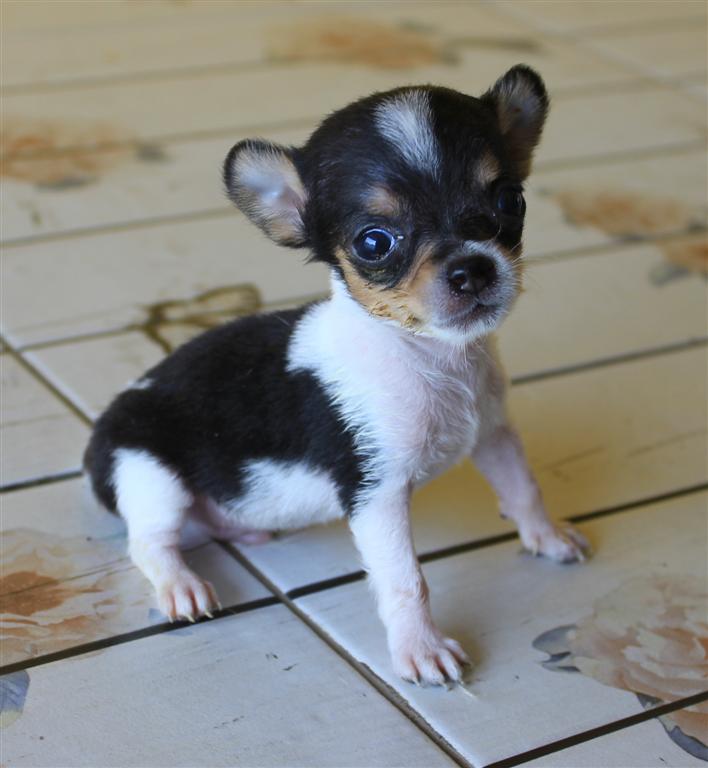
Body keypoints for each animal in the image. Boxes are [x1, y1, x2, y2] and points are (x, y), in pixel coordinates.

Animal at [85, 65, 589, 686]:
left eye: (509, 200)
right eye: (374, 242)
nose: (472, 269)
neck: (436, 360)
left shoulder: (493, 433)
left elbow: (523, 488)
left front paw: (546, 535)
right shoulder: (377, 495)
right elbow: (405, 579)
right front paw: (421, 649)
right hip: (150, 475)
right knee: (150, 542)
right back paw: (182, 586)